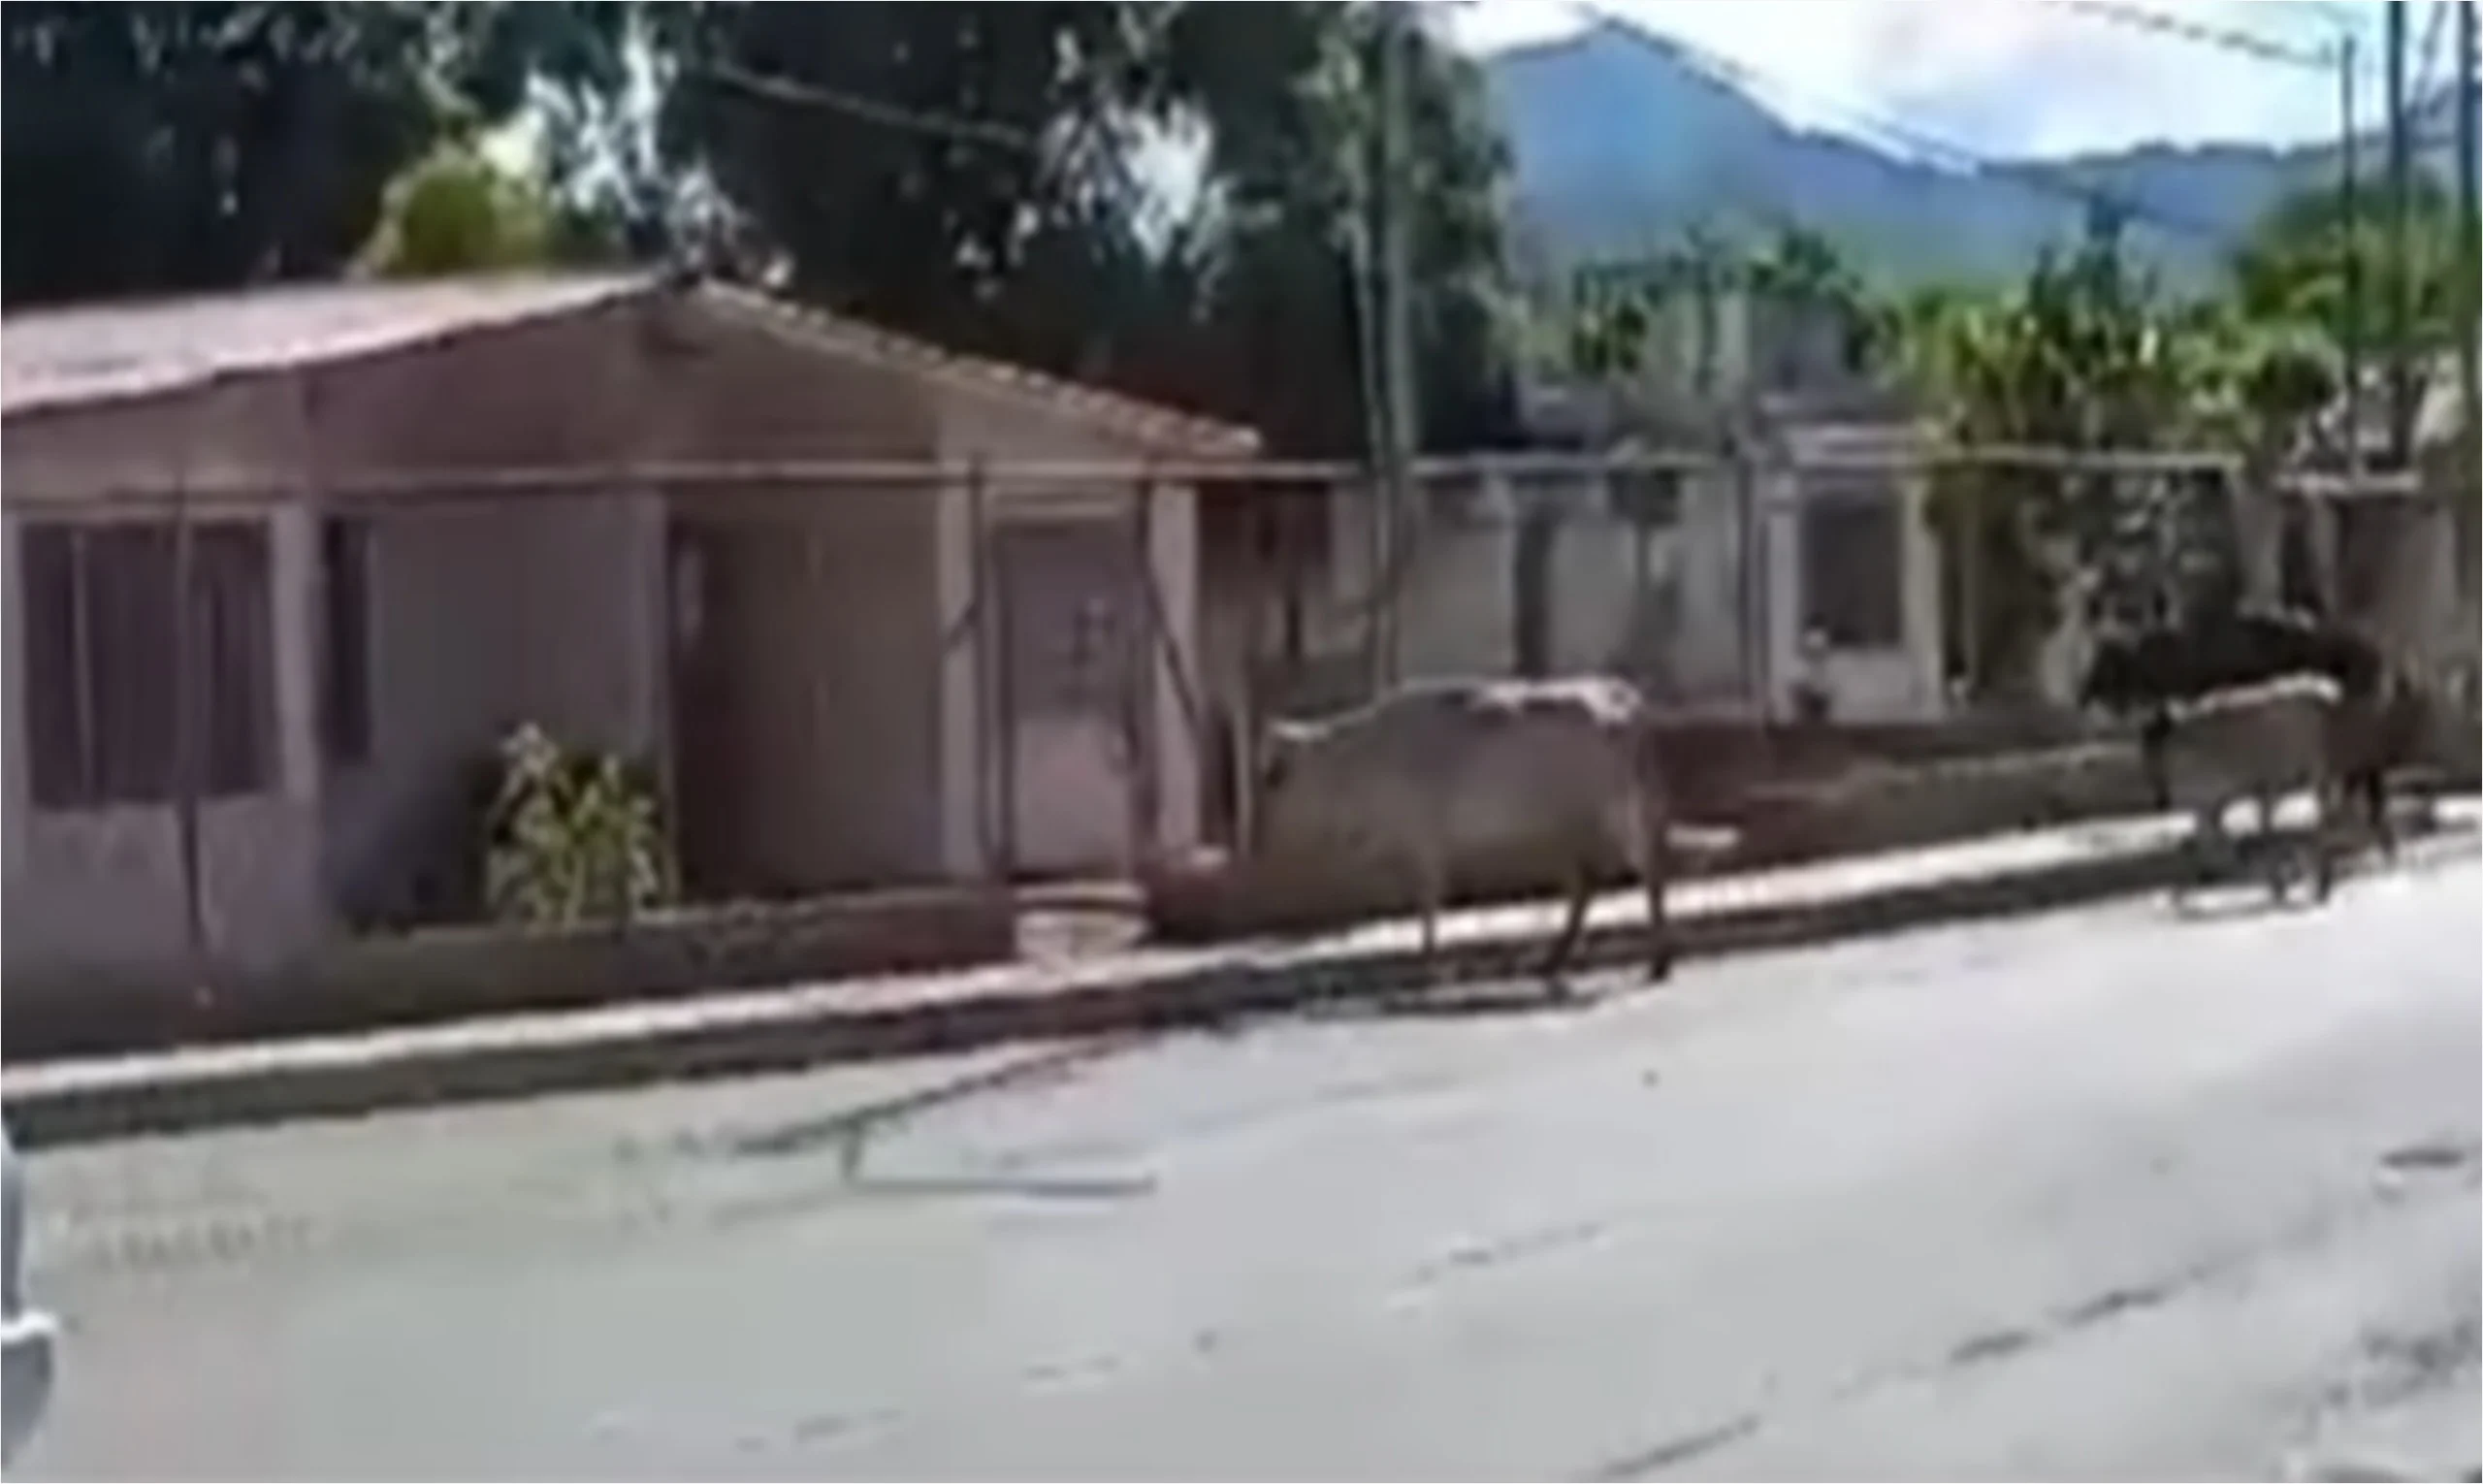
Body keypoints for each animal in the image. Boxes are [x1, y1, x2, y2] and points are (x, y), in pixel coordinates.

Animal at [1261, 680, 1688, 992]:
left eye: (1274, 776)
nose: (1263, 831)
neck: (1355, 761)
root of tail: (1622, 697)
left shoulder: (1424, 845)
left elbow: (1429, 904)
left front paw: (1429, 964)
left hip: (1622, 815)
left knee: (1651, 875)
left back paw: (1659, 961)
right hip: (1569, 831)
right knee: (1585, 888)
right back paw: (1553, 960)